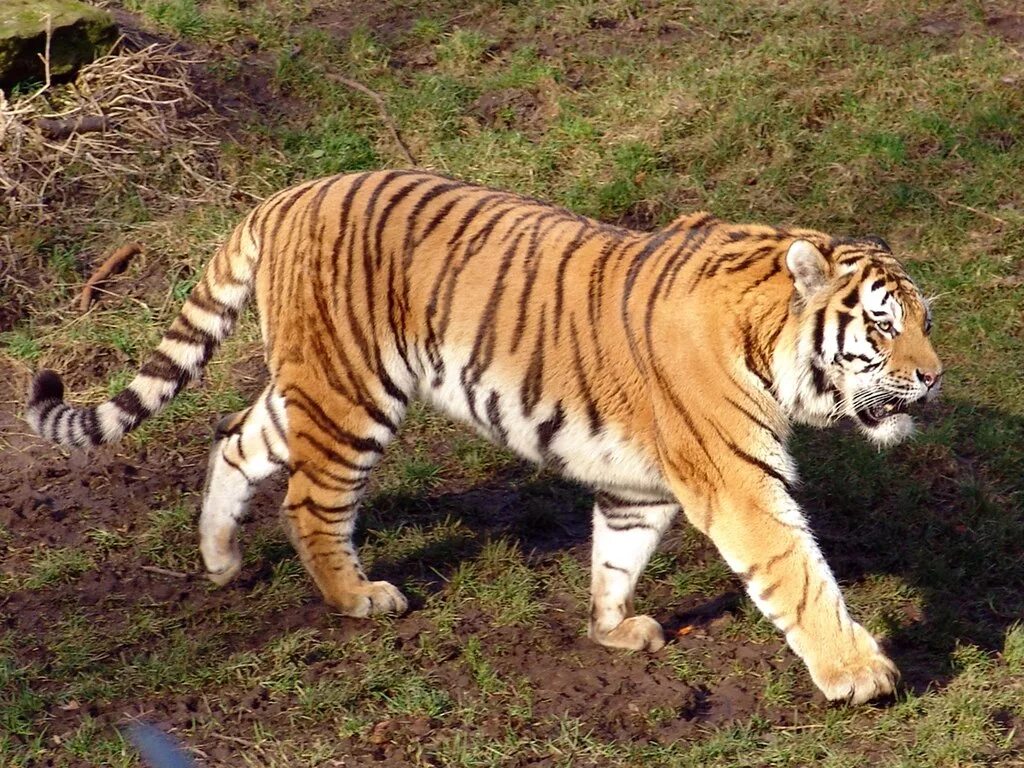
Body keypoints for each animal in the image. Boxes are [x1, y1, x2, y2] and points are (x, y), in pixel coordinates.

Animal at [28, 171, 942, 708]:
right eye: (883, 326)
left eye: (924, 321)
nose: (934, 378)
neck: (768, 339)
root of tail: (284, 196)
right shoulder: (739, 481)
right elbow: (801, 576)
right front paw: (859, 673)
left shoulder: (640, 484)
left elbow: (617, 552)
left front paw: (612, 629)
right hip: (351, 395)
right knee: (311, 503)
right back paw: (358, 597)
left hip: (309, 387)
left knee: (232, 440)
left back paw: (221, 559)